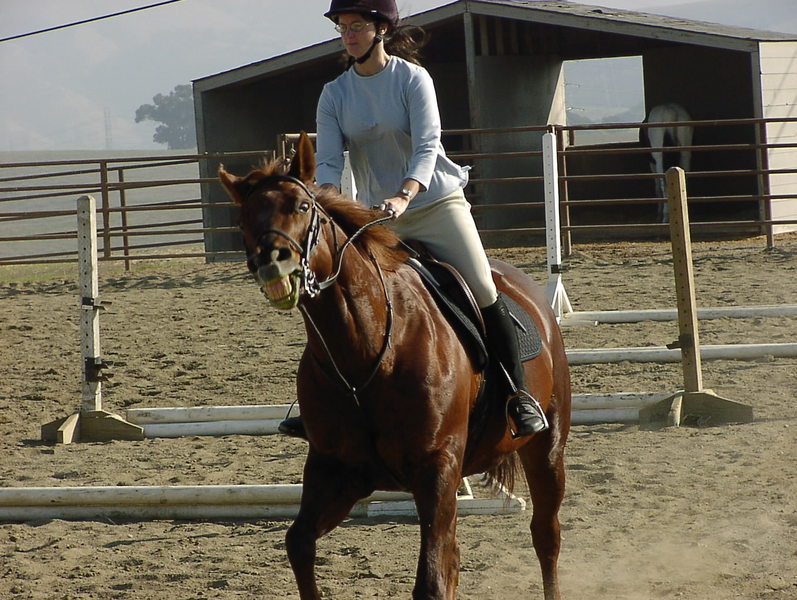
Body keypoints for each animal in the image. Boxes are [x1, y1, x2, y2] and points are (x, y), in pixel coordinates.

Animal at [219, 132, 571, 600]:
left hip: (547, 449)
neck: (365, 357)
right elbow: (299, 544)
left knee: (546, 535)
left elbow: (432, 581)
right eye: (243, 219)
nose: (272, 265)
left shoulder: (437, 470)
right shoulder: (336, 471)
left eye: (302, 206)